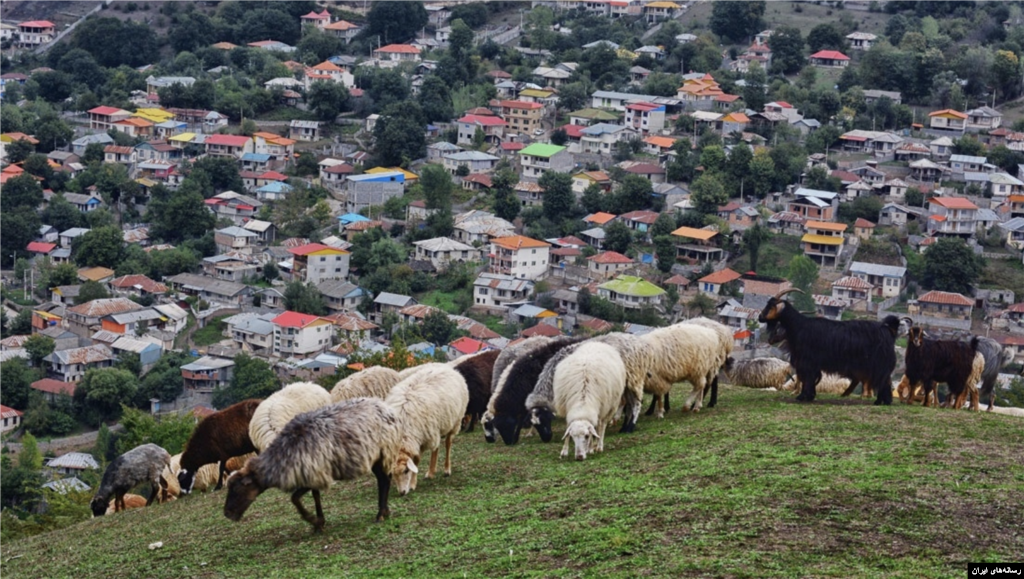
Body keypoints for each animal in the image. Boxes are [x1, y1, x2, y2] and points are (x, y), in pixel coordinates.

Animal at [224, 397, 403, 532]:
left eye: (236, 490)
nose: (227, 514)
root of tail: (385, 407)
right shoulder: (312, 473)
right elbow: (315, 496)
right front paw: (320, 522)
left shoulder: (313, 474)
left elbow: (295, 498)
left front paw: (313, 520)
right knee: (383, 478)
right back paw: (385, 511)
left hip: (383, 451)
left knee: (384, 480)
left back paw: (380, 514)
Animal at [382, 362, 468, 493]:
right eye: (392, 474)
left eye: (406, 471)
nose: (402, 493)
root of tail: (446, 367)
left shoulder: (421, 439)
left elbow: (416, 461)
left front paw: (412, 484)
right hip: (436, 427)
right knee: (436, 447)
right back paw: (431, 472)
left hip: (454, 421)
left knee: (448, 443)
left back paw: (447, 469)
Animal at [761, 286, 897, 403]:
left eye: (771, 305)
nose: (760, 317)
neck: (799, 326)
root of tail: (887, 331)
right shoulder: (812, 363)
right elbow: (811, 378)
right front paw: (809, 396)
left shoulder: (807, 361)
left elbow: (808, 378)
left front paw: (802, 396)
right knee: (886, 380)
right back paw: (882, 401)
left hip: (878, 363)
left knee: (884, 380)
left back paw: (881, 401)